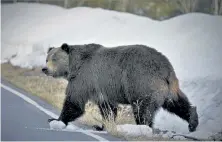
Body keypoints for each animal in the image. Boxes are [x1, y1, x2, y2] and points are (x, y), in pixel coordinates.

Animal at [42, 43, 199, 132]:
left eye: (54, 59)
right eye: (47, 58)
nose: (44, 69)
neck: (74, 66)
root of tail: (166, 68)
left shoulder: (85, 78)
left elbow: (74, 102)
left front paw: (56, 120)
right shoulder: (102, 89)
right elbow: (108, 109)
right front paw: (102, 126)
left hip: (142, 82)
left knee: (143, 110)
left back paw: (143, 127)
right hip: (168, 88)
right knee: (178, 103)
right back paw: (193, 122)